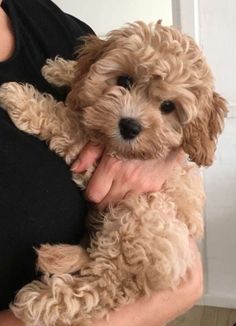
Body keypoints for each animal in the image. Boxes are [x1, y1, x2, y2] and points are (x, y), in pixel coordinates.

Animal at [0, 21, 227, 324]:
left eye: (168, 106)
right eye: (124, 81)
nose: (129, 127)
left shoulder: (99, 156)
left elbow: (69, 122)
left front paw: (20, 97)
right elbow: (84, 77)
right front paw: (63, 70)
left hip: (140, 217)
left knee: (105, 286)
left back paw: (41, 300)